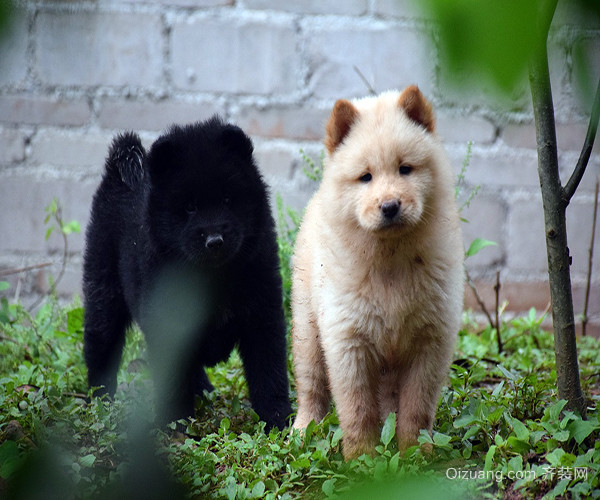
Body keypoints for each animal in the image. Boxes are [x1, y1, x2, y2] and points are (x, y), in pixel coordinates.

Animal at [82, 117, 292, 430]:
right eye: (190, 207)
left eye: (228, 199)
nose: (215, 240)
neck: (213, 275)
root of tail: (117, 174)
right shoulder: (167, 321)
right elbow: (172, 381)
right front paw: (175, 424)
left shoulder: (262, 312)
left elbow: (269, 372)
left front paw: (279, 420)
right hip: (102, 291)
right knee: (101, 347)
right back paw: (100, 403)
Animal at [290, 86, 464, 460]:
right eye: (365, 177)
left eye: (405, 169)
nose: (390, 206)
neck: (390, 258)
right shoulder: (348, 340)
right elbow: (357, 409)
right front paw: (361, 459)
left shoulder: (430, 340)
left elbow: (416, 409)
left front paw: (415, 455)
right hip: (308, 331)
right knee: (311, 386)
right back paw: (302, 430)